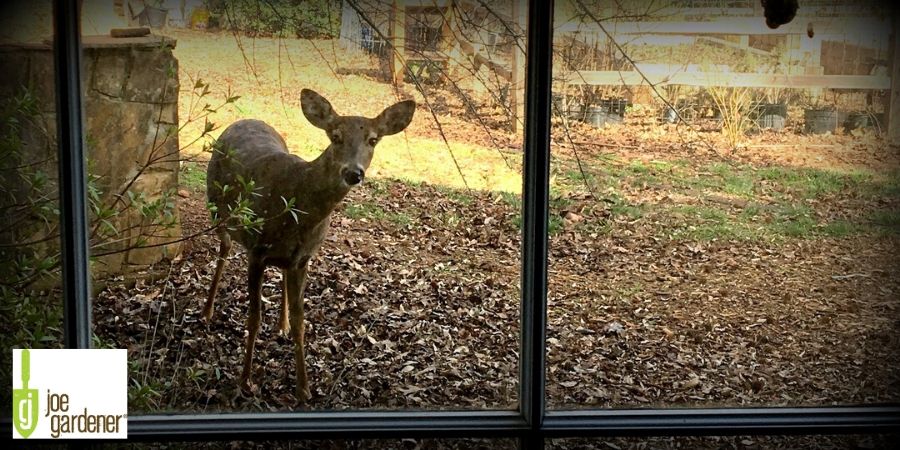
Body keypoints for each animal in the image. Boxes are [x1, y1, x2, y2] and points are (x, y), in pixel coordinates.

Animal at [203, 89, 414, 400]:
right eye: (335, 136)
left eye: (373, 139)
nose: (354, 173)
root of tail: (244, 119)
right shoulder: (256, 251)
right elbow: (253, 318)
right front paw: (245, 381)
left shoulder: (303, 259)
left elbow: (302, 322)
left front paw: (304, 388)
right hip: (219, 210)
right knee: (225, 249)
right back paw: (207, 311)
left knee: (278, 273)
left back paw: (281, 325)